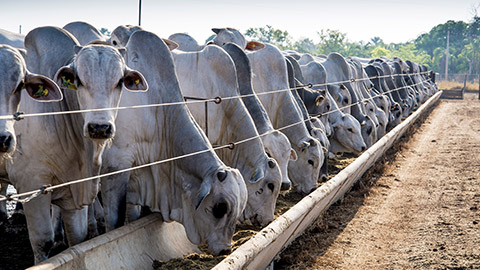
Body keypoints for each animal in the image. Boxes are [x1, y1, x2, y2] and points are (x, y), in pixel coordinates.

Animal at [5, 26, 147, 262]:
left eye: (119, 81)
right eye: (78, 80)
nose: (99, 128)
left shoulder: (73, 189)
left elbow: (78, 237)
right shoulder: (31, 183)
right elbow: (42, 241)